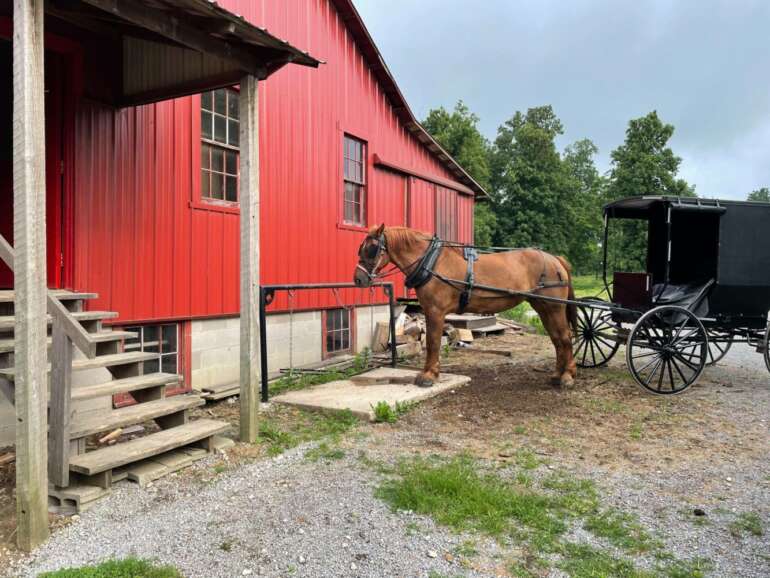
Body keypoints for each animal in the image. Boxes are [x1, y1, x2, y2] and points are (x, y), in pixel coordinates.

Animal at [354, 224, 577, 388]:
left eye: (372, 249)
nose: (358, 279)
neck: (432, 263)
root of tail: (555, 259)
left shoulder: (435, 311)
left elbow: (433, 342)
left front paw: (429, 375)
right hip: (544, 308)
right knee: (557, 339)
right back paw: (558, 374)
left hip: (554, 307)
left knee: (564, 338)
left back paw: (567, 376)